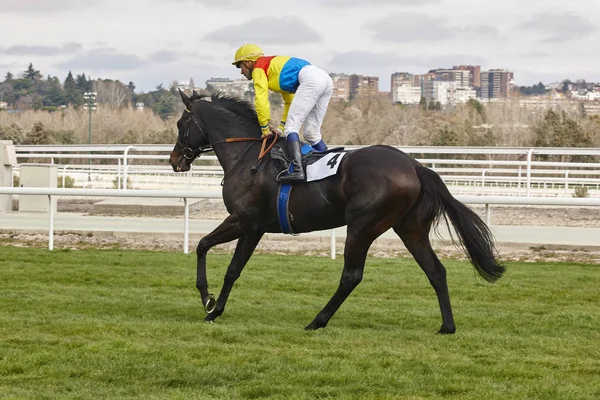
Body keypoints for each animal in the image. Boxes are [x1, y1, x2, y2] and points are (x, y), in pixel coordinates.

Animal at [169, 90, 506, 332]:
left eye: (180, 125)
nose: (174, 161)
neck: (249, 157)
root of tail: (414, 165)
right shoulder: (255, 227)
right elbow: (233, 269)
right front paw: (216, 310)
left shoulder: (243, 220)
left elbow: (202, 246)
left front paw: (207, 300)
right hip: (409, 227)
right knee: (435, 270)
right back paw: (447, 326)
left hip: (362, 226)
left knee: (351, 276)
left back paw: (317, 321)